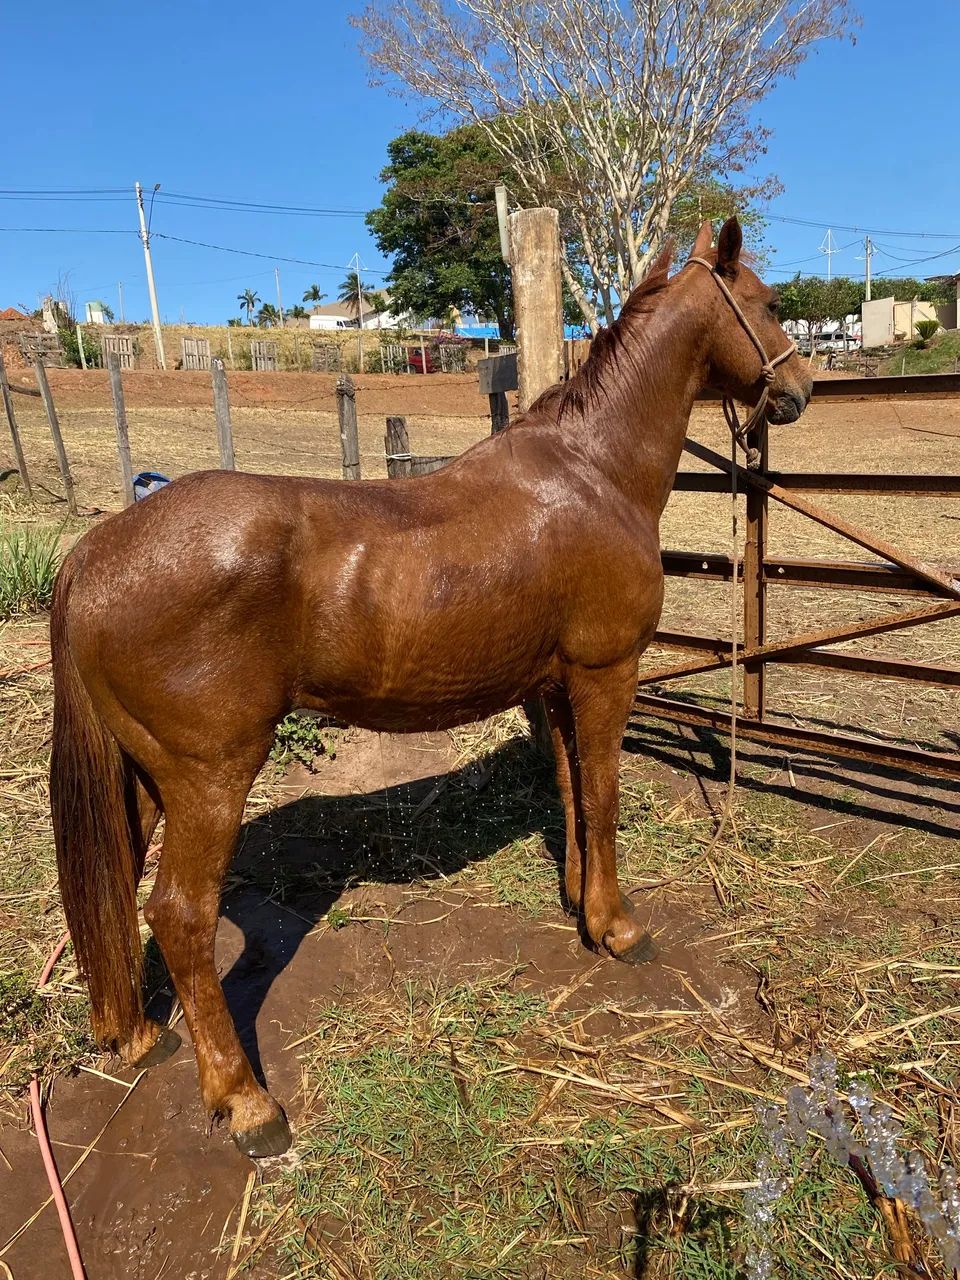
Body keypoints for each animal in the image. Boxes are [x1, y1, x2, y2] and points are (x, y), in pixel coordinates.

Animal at [49, 218, 811, 1158]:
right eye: (768, 304)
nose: (801, 389)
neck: (591, 472)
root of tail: (95, 554)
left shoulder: (554, 684)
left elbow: (570, 791)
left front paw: (580, 905)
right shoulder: (606, 673)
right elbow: (602, 794)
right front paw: (619, 927)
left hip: (142, 779)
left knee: (114, 890)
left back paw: (137, 1035)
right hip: (207, 779)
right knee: (180, 917)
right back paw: (246, 1102)